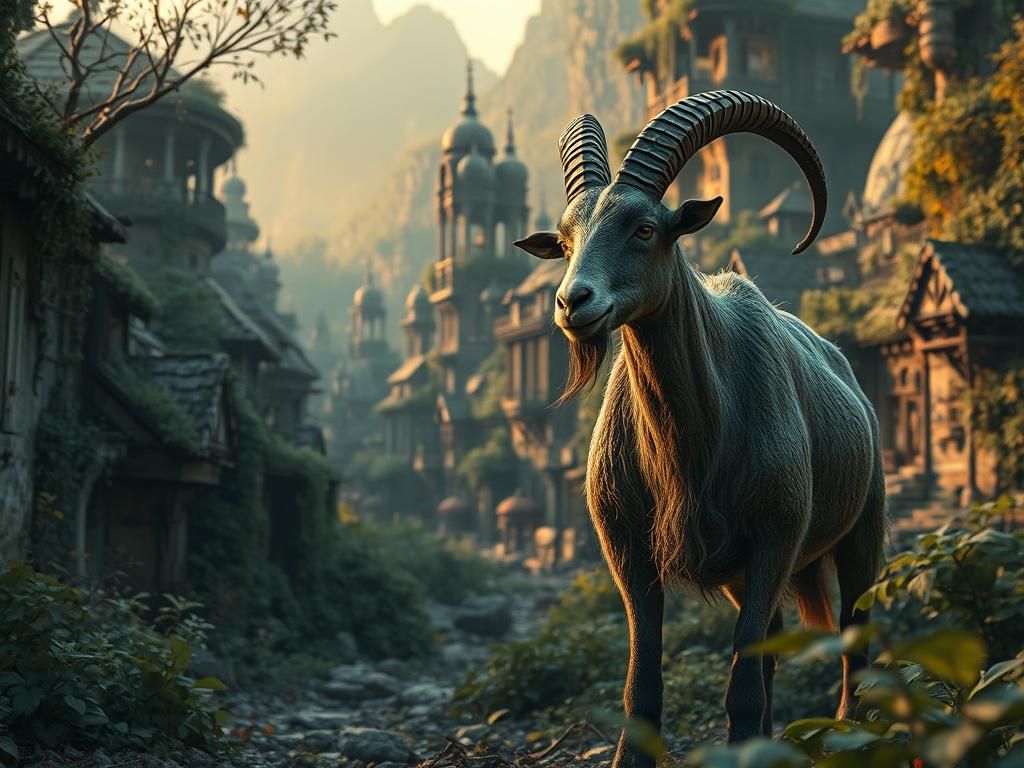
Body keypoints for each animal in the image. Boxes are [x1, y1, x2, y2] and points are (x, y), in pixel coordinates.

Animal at [515, 90, 886, 767]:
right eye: (566, 238)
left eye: (645, 228)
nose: (572, 304)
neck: (694, 444)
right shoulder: (629, 547)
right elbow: (643, 683)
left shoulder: (775, 534)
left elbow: (741, 682)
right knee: (771, 643)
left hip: (861, 529)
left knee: (853, 641)